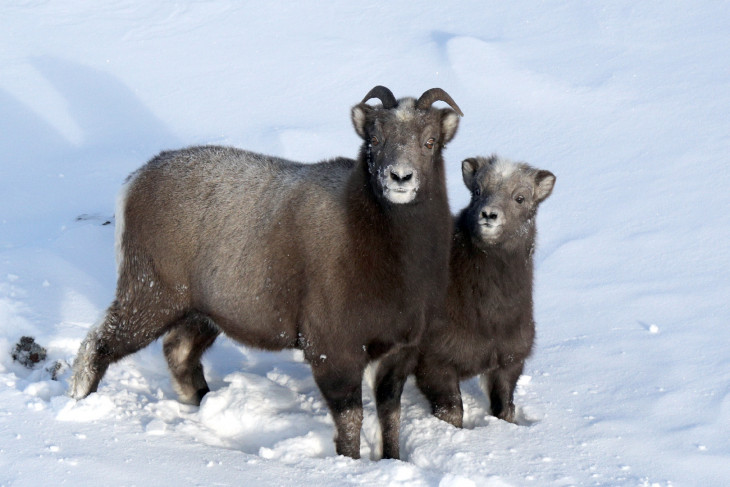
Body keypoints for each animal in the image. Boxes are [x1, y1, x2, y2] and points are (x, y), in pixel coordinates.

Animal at [372, 155, 556, 458]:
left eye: (520, 197)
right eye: (477, 191)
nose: (489, 215)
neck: (490, 320)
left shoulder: (507, 365)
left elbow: (505, 409)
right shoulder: (436, 366)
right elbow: (452, 412)